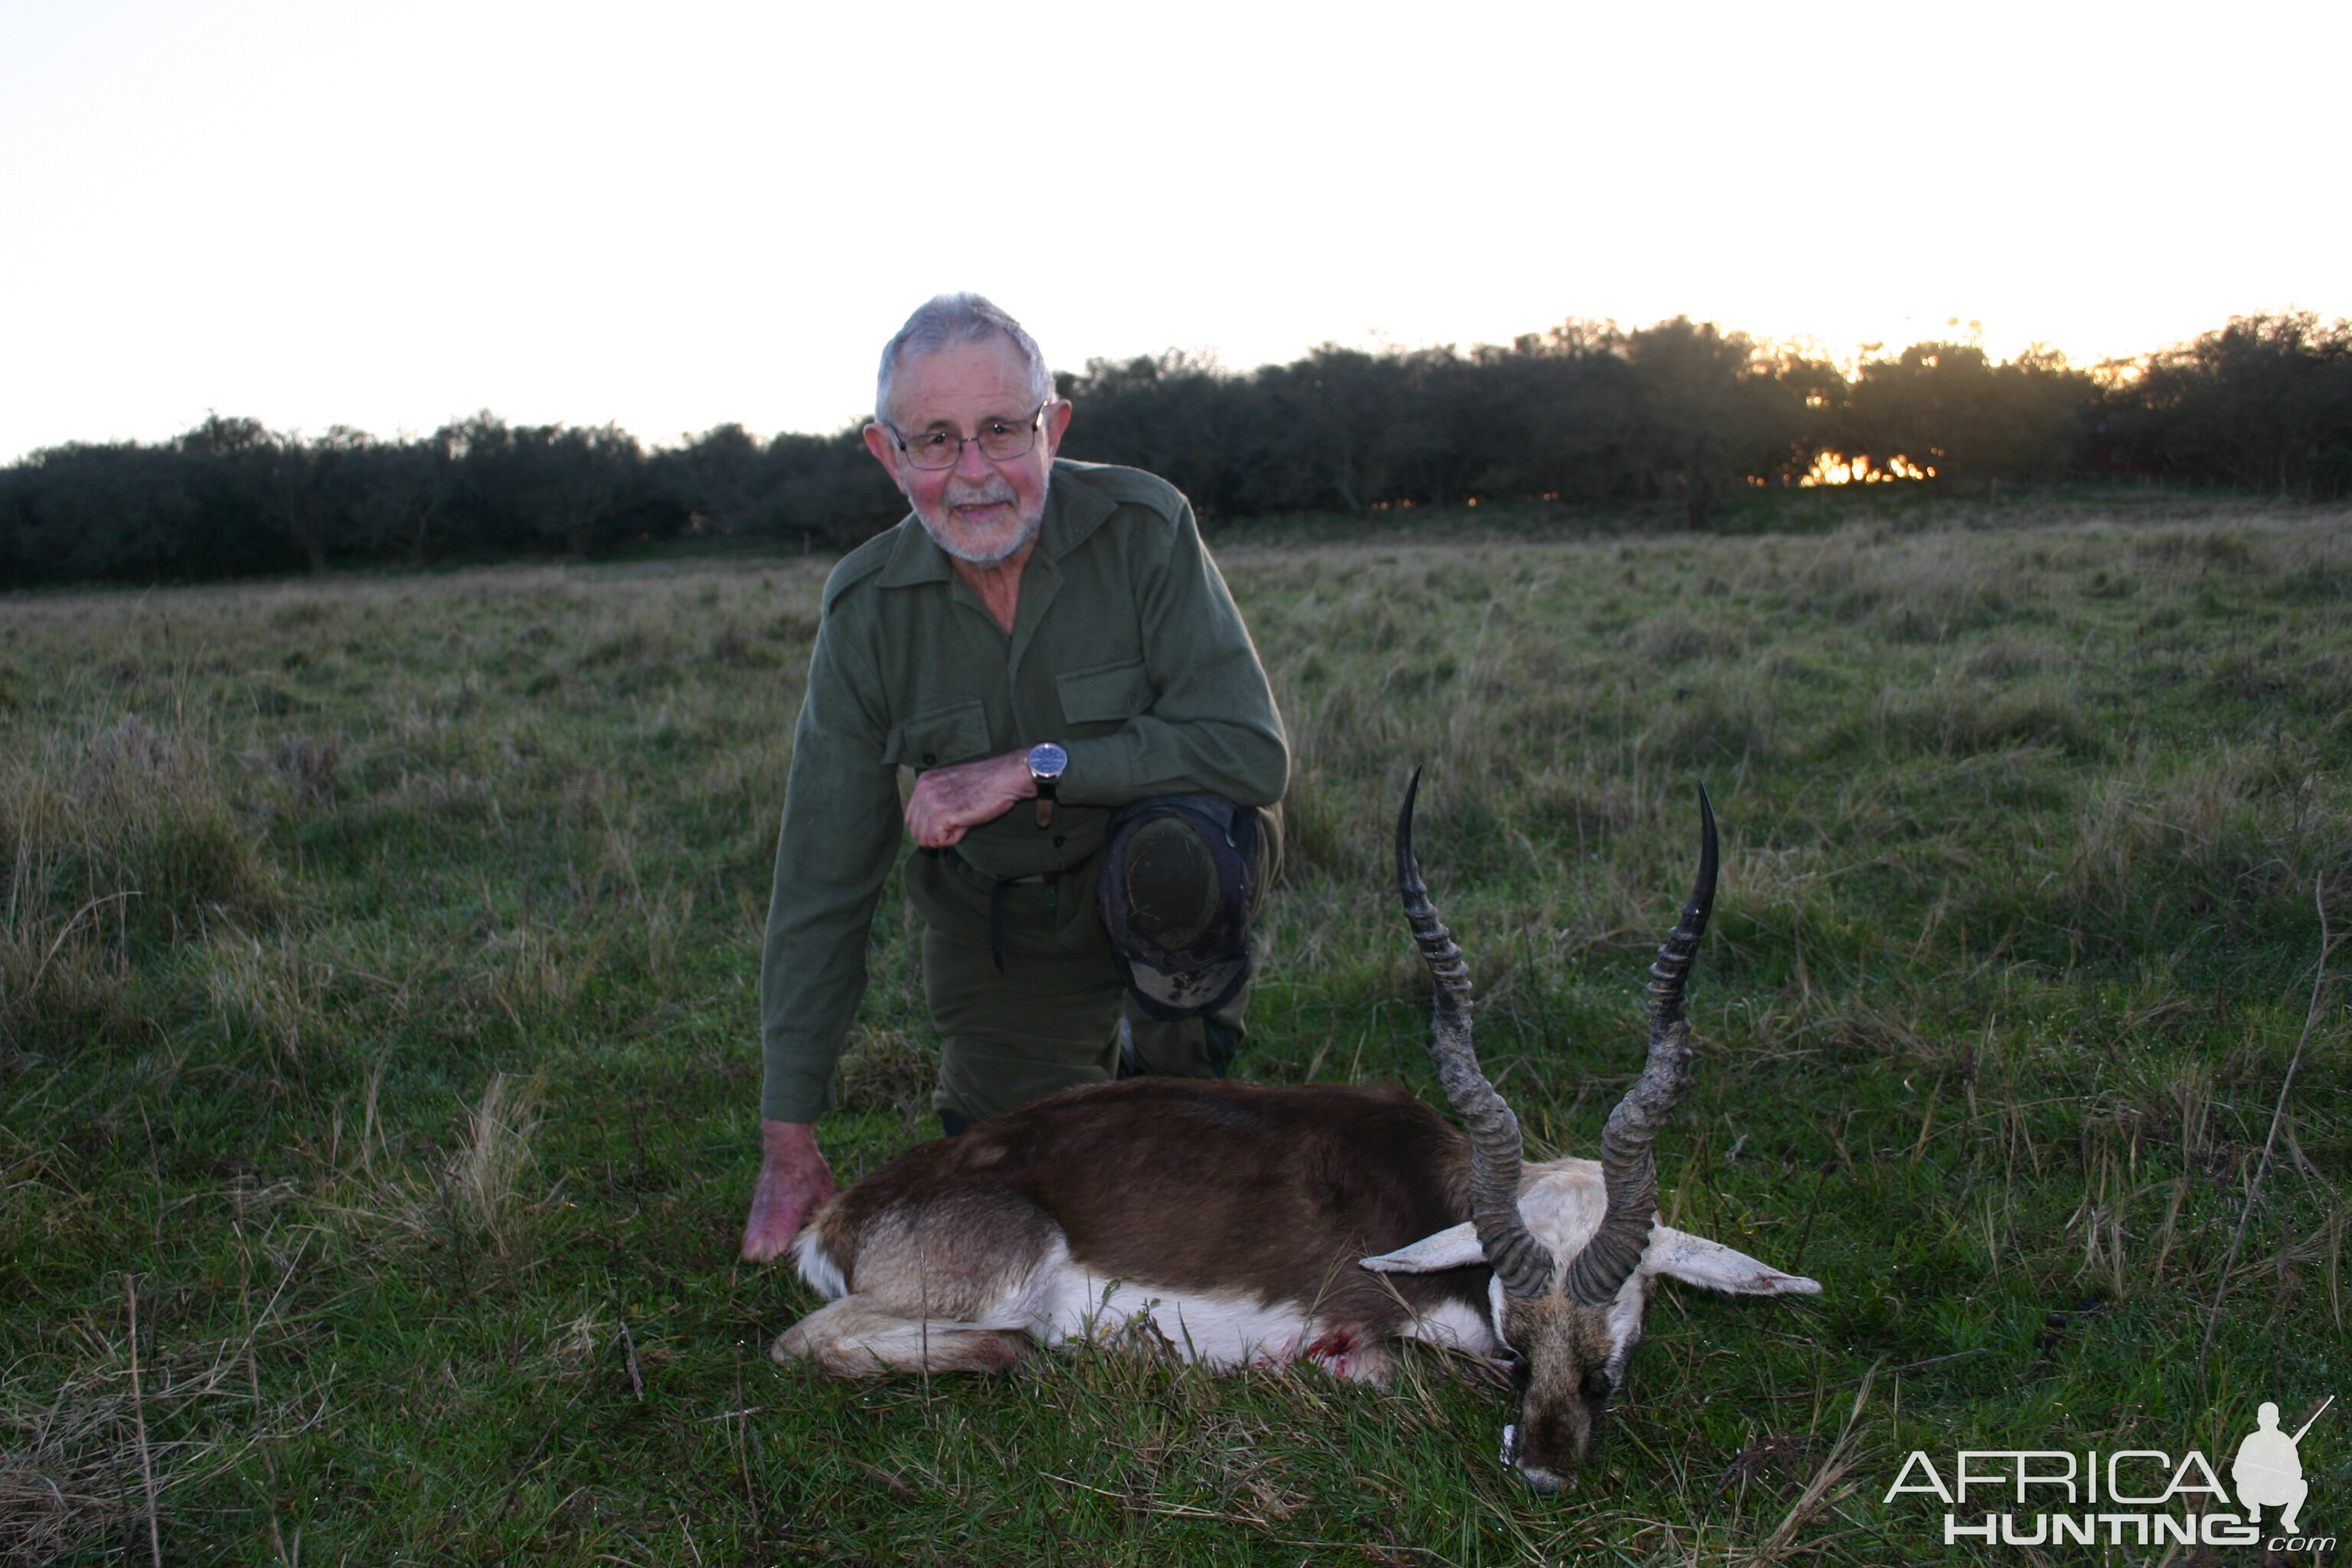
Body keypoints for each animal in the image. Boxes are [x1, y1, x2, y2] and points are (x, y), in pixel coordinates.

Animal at [771, 780, 1815, 1494]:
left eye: (1608, 1362)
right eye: (1520, 1347)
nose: (1543, 1469)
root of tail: (840, 1216)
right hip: (993, 1276)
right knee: (808, 1341)